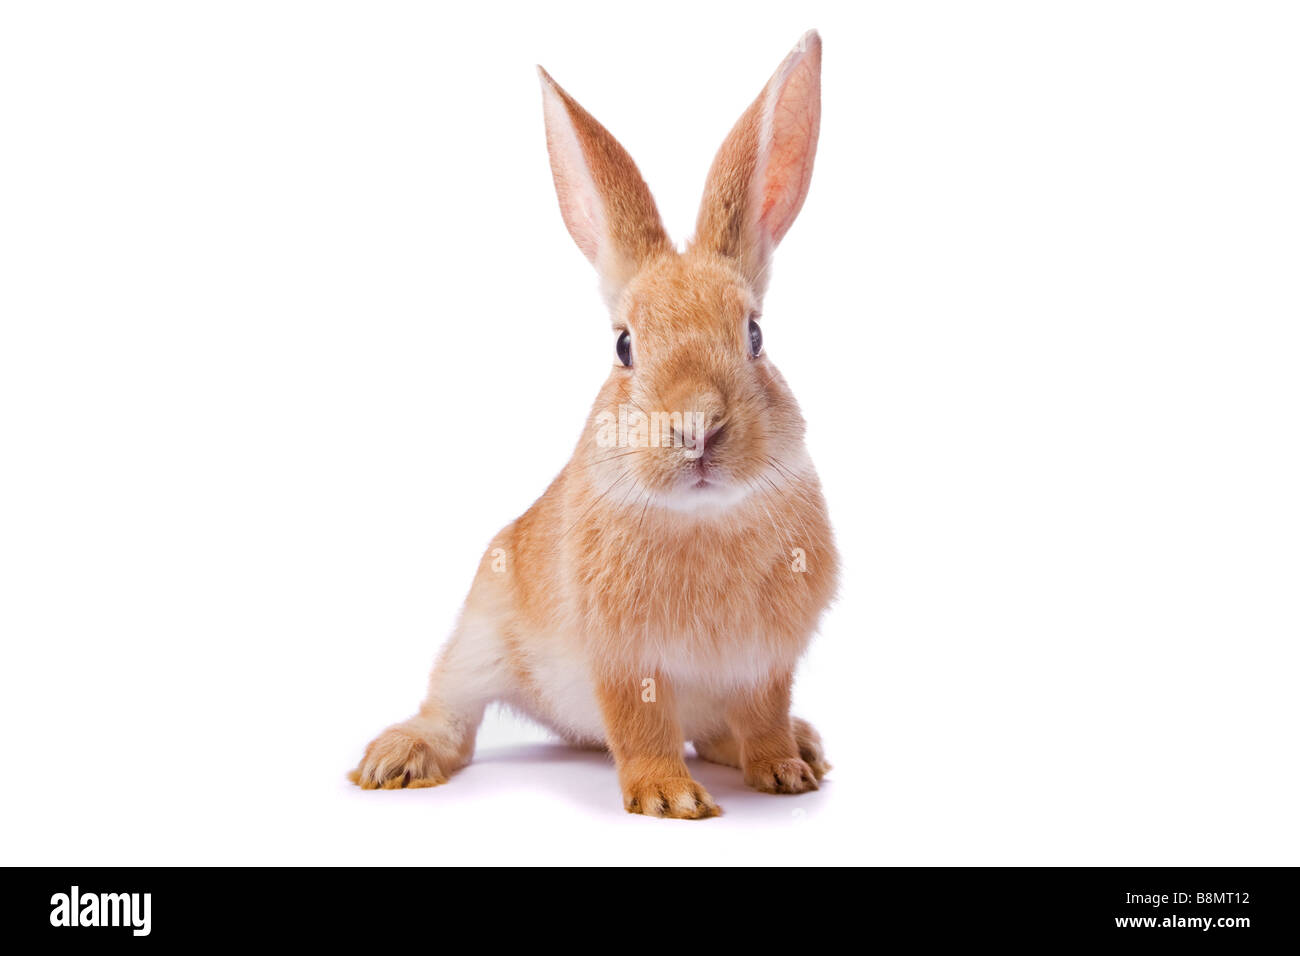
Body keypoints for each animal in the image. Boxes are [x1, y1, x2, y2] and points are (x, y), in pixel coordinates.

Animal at [350, 30, 838, 818]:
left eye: (756, 335)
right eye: (624, 345)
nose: (696, 426)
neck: (703, 519)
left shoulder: (767, 664)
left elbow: (764, 716)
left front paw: (782, 773)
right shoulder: (624, 661)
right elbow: (640, 726)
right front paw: (669, 798)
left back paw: (804, 747)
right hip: (479, 638)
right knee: (452, 714)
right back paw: (396, 759)